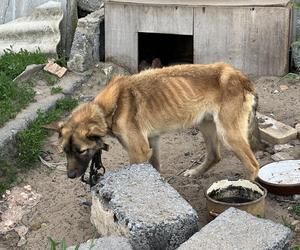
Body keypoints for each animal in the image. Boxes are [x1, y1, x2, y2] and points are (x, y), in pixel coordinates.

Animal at [54, 62, 262, 180]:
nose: (70, 176)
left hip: (228, 135)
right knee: (214, 156)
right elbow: (155, 169)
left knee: (253, 166)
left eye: (81, 151)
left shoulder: (138, 152)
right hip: (206, 125)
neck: (110, 107)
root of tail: (242, 78)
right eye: (65, 152)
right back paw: (196, 172)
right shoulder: (152, 142)